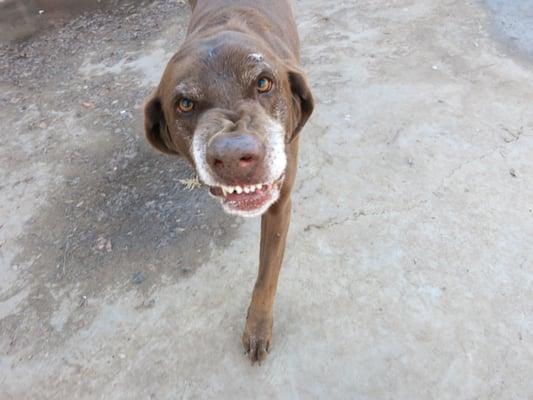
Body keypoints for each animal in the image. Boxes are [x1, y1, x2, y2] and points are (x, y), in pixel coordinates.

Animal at [143, 0, 314, 362]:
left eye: (263, 83)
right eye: (185, 104)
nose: (235, 157)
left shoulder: (279, 203)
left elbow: (266, 276)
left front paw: (258, 327)